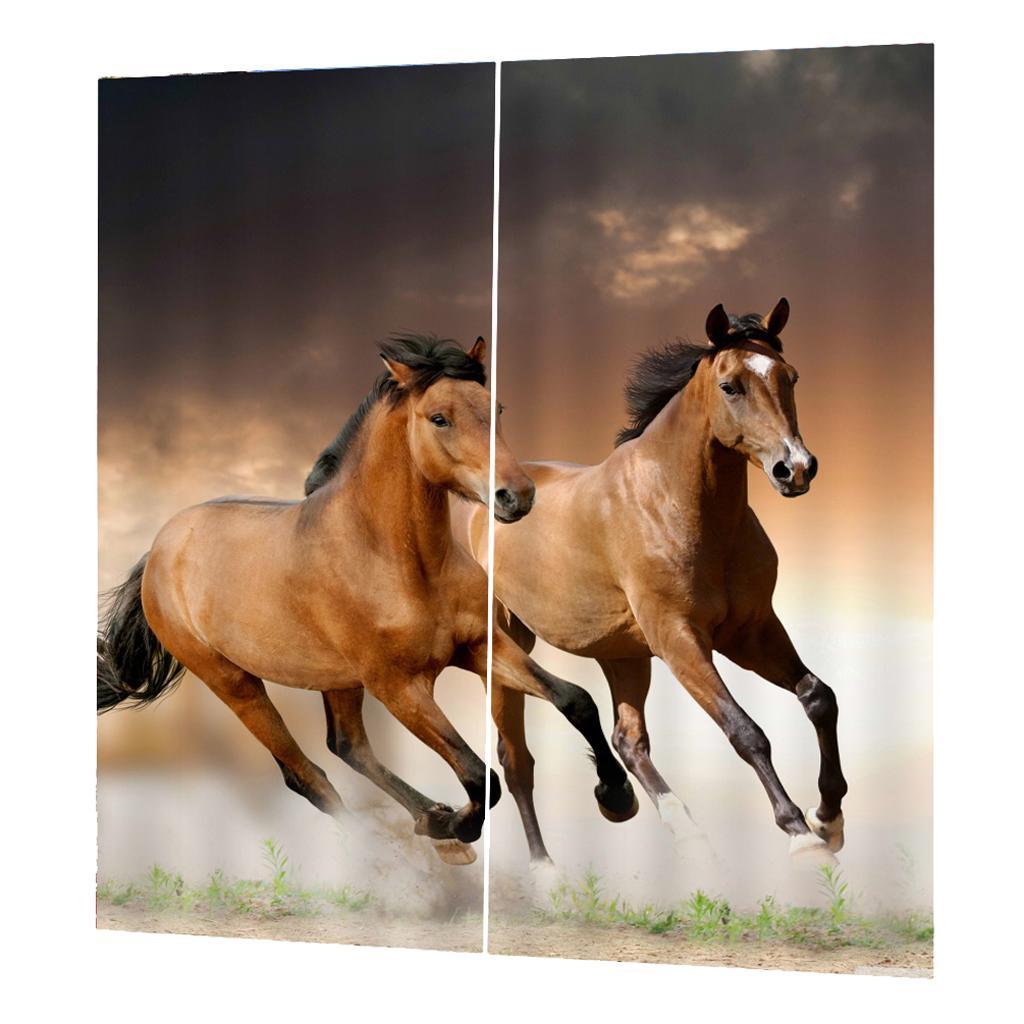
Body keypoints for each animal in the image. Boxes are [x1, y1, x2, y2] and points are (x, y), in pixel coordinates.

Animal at [98, 334, 636, 866]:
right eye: (439, 418)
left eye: (497, 407)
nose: (516, 496)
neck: (402, 563)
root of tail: (159, 549)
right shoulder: (398, 686)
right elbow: (479, 776)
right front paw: (454, 825)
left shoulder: (481, 646)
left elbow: (575, 700)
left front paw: (616, 796)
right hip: (234, 683)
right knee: (307, 777)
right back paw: (408, 849)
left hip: (336, 678)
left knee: (347, 746)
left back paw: (429, 821)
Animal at [469, 300, 847, 869]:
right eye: (731, 385)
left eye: (791, 377)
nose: (796, 468)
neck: (679, 506)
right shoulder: (679, 639)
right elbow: (745, 731)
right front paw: (800, 833)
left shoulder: (752, 631)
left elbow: (818, 697)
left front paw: (829, 817)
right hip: (509, 650)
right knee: (517, 761)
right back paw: (544, 869)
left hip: (622, 654)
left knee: (629, 740)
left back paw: (671, 825)